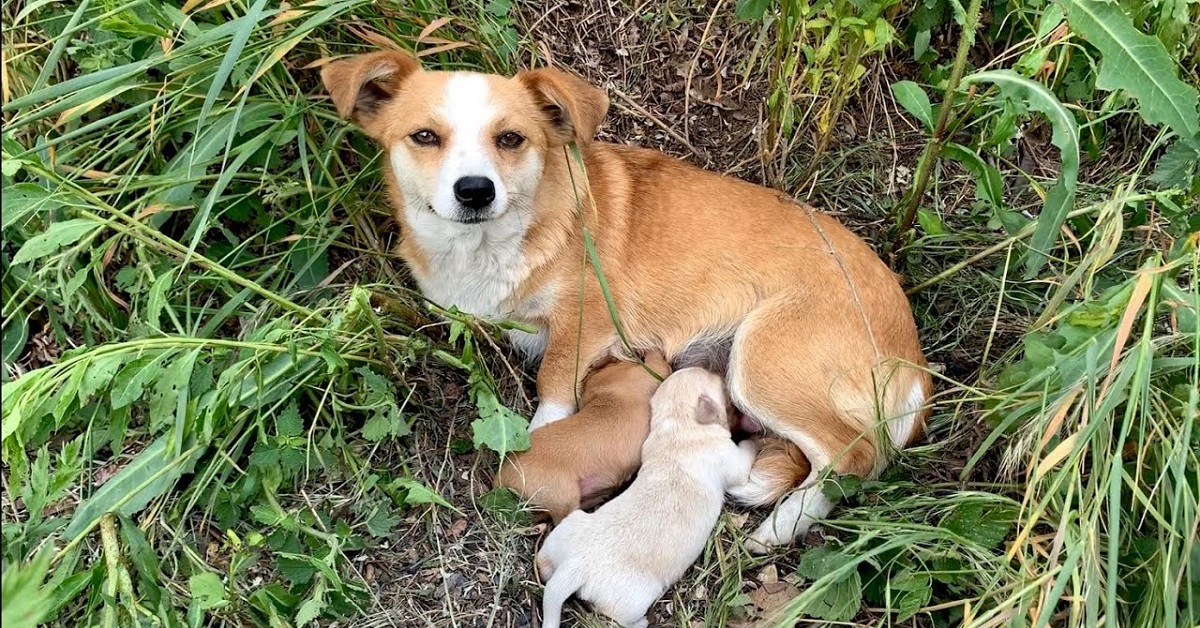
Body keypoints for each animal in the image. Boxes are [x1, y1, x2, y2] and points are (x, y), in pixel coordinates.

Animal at [537, 369, 753, 628]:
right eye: (714, 380)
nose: (718, 372)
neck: (677, 425)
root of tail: (574, 566)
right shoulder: (728, 457)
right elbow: (745, 460)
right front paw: (754, 441)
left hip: (566, 529)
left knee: (545, 562)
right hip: (634, 598)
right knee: (618, 618)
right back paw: (641, 622)